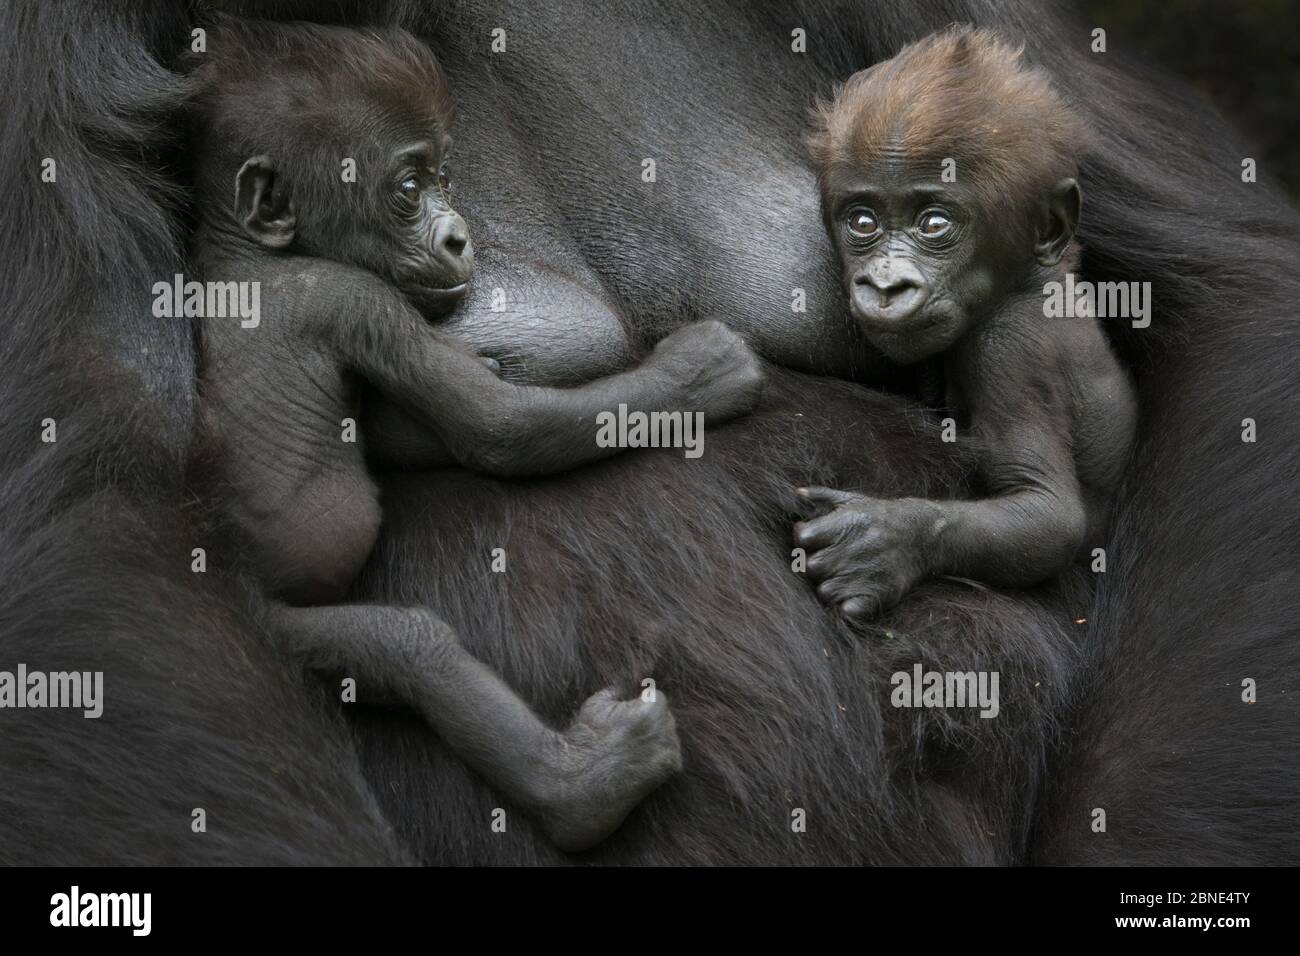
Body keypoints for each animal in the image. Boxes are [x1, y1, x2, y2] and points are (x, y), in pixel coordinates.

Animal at [188, 18, 764, 848]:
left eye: (446, 176)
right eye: (408, 188)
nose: (460, 238)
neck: (243, 250)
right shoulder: (355, 297)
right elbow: (498, 429)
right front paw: (697, 376)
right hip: (270, 625)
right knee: (409, 649)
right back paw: (584, 784)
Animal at [795, 27, 1133, 621]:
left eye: (934, 224)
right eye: (863, 221)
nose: (885, 285)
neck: (1030, 281)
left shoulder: (1008, 351)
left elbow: (1047, 513)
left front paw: (891, 538)